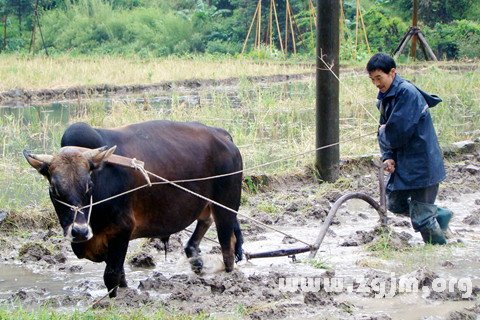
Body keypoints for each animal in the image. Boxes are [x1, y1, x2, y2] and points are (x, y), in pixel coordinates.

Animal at [22, 120, 244, 298]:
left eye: (89, 186)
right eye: (54, 189)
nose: (79, 231)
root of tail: (221, 134)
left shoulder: (121, 230)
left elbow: (111, 275)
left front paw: (112, 302)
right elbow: (120, 273)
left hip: (226, 206)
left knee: (227, 243)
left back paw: (229, 277)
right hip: (206, 204)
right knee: (205, 223)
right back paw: (196, 259)